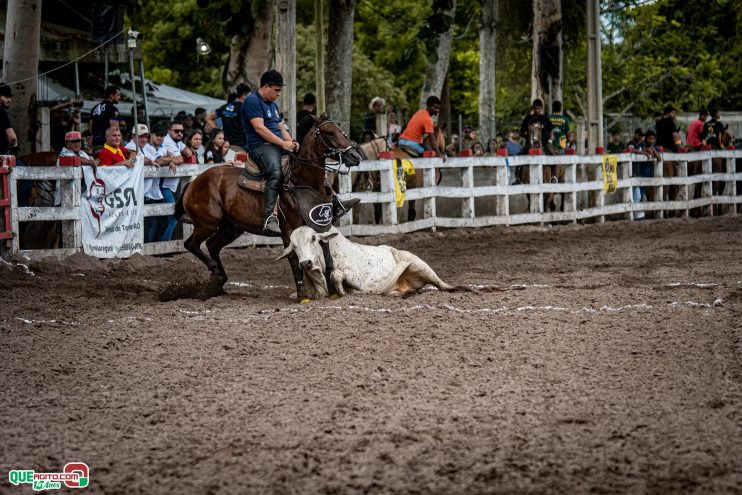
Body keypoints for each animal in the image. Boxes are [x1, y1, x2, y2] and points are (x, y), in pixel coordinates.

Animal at [180, 114, 366, 300]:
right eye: (330, 132)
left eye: (341, 130)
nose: (354, 156)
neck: (300, 182)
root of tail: (194, 182)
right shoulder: (288, 231)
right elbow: (293, 259)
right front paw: (302, 293)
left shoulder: (320, 226)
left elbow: (327, 256)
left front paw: (333, 289)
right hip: (207, 224)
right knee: (191, 245)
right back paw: (214, 271)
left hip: (231, 228)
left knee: (212, 246)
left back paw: (220, 279)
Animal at [278, 228, 454, 298]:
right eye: (293, 246)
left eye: (313, 238)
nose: (305, 263)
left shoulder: (360, 283)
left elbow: (337, 274)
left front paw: (342, 291)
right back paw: (408, 293)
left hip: (418, 265)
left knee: (441, 284)